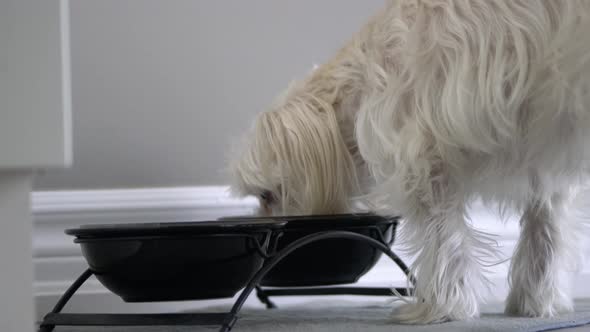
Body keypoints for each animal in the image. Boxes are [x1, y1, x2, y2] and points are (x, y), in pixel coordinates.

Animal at [229, 0, 590, 324]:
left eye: (267, 195)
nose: (267, 222)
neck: (363, 76)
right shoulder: (545, 160)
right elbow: (545, 231)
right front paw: (536, 301)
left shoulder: (425, 159)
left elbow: (444, 239)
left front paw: (442, 307)